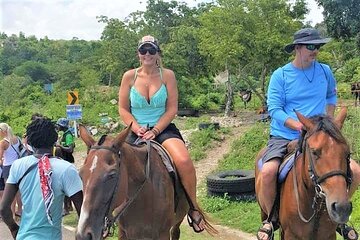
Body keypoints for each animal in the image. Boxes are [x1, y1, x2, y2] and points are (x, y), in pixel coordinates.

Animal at [255, 108, 352, 239]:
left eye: (348, 153)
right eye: (314, 152)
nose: (341, 208)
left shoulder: (329, 235)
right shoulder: (290, 235)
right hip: (264, 212)